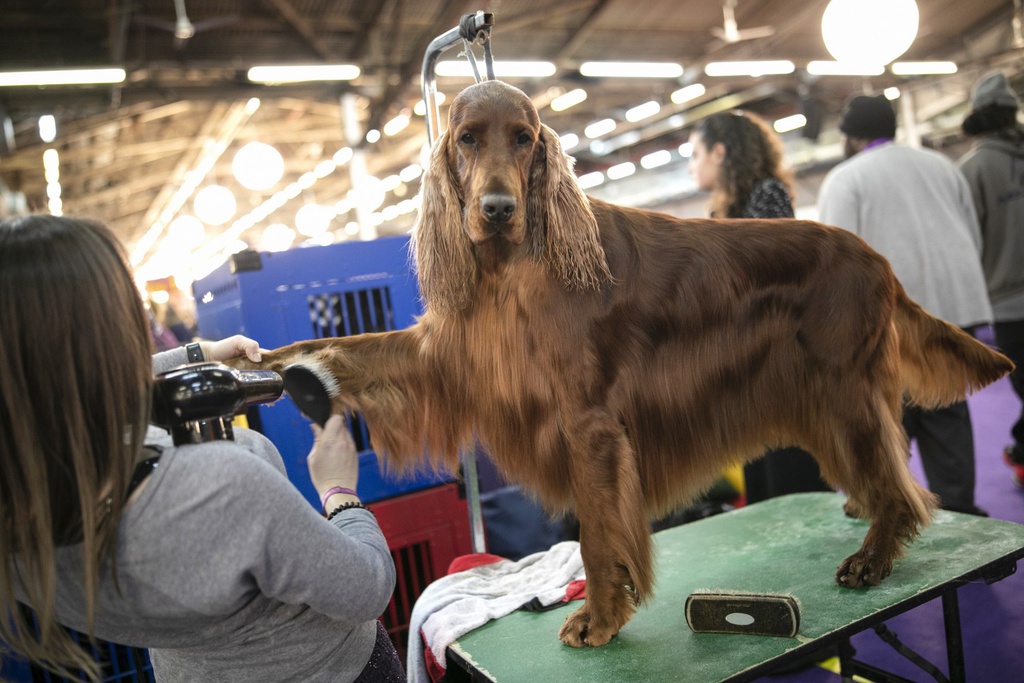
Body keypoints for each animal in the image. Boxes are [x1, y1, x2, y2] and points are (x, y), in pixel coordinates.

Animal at [234, 78, 1015, 647]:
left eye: (524, 139)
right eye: (465, 138)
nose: (496, 207)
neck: (513, 268)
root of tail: (877, 258)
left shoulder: (588, 424)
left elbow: (598, 529)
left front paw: (601, 618)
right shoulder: (450, 354)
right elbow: (358, 352)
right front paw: (260, 361)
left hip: (842, 388)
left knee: (899, 476)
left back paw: (874, 553)